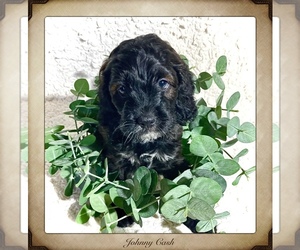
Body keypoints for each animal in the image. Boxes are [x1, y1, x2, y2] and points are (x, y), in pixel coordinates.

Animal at [97, 34, 198, 230]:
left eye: (163, 83)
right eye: (122, 89)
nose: (146, 121)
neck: (146, 142)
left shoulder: (174, 159)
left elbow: (186, 185)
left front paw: (199, 221)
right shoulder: (117, 160)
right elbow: (117, 184)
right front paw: (121, 213)